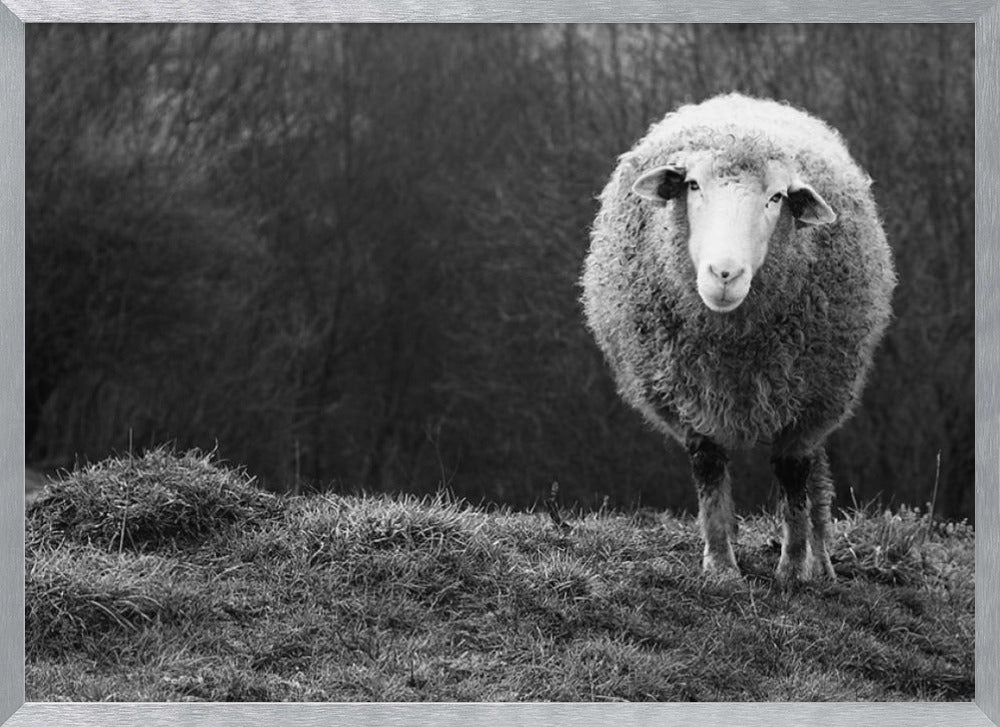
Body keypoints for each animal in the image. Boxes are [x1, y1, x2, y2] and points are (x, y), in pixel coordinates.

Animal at [581, 93, 896, 583]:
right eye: (692, 185)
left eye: (776, 197)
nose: (724, 274)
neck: (733, 347)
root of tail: (742, 101)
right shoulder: (689, 394)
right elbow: (709, 469)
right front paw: (720, 566)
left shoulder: (807, 402)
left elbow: (793, 477)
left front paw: (793, 568)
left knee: (816, 479)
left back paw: (821, 563)